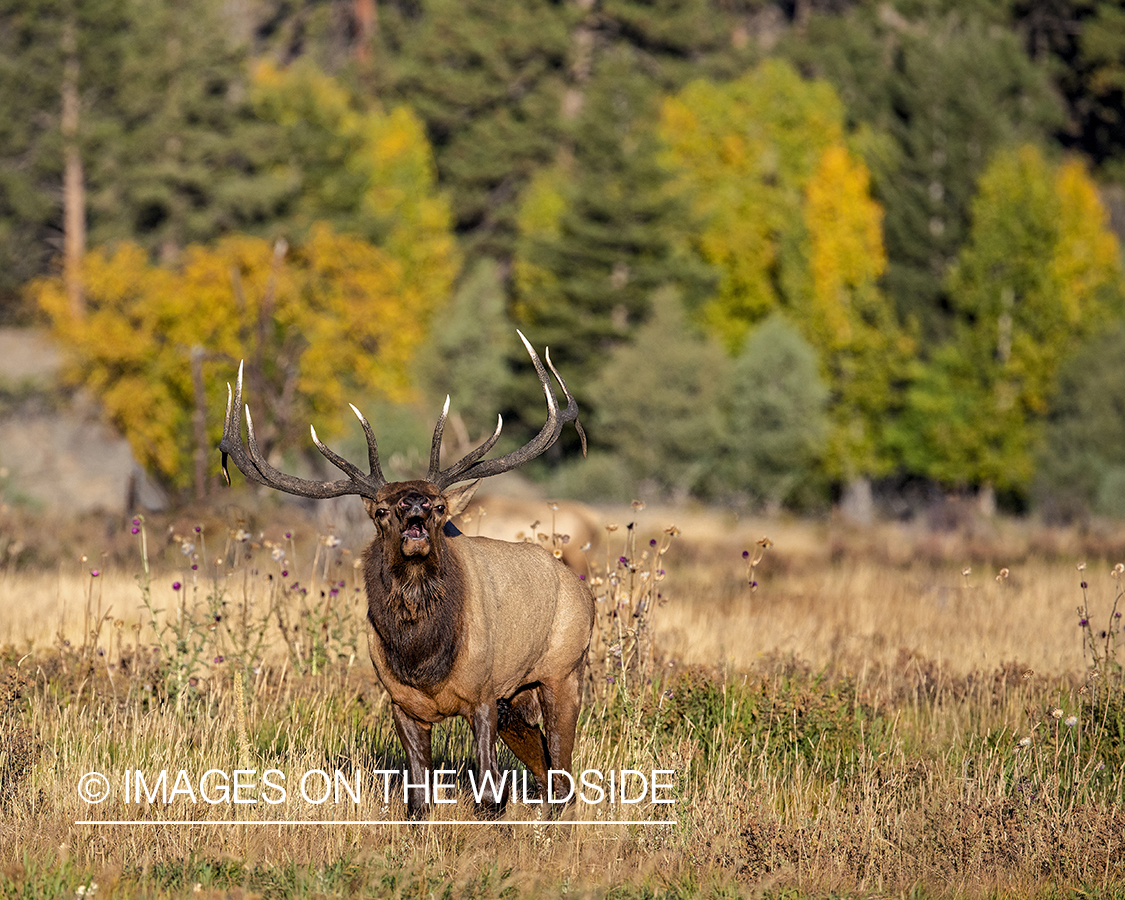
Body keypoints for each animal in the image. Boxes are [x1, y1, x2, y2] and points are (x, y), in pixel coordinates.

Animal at [213, 333, 594, 819]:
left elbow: (490, 798)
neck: (422, 660)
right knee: (545, 768)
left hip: (562, 671)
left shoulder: (484, 694)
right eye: (380, 509)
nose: (414, 504)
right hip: (518, 698)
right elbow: (417, 801)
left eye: (440, 505)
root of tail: (580, 589)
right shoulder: (401, 704)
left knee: (563, 773)